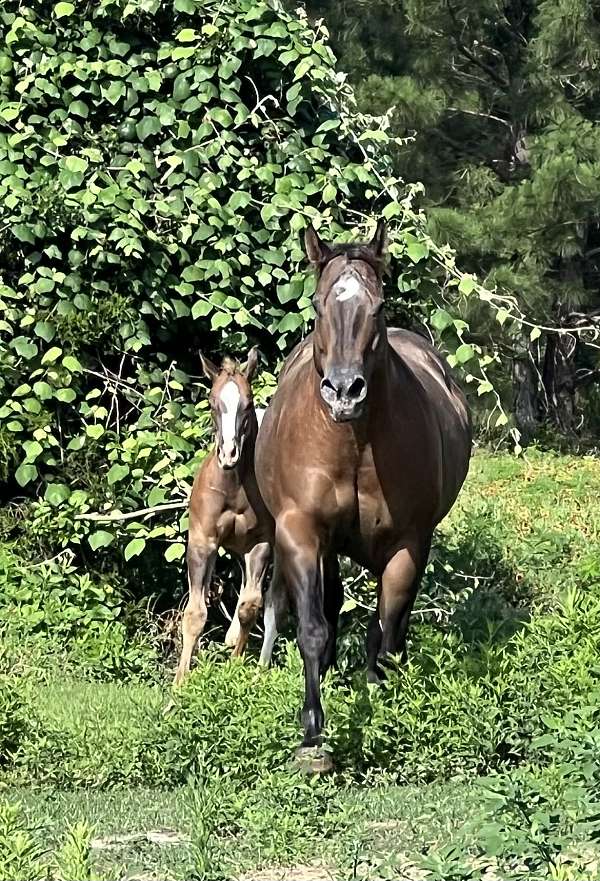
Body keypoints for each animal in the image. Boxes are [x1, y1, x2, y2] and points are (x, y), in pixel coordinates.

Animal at [174, 348, 283, 685]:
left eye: (247, 404)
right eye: (212, 402)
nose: (229, 455)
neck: (233, 488)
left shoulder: (260, 545)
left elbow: (251, 607)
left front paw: (235, 668)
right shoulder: (202, 541)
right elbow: (195, 613)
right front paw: (180, 682)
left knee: (272, 606)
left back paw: (257, 667)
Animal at [255, 221, 471, 769]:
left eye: (377, 305)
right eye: (317, 302)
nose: (344, 391)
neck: (352, 443)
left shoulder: (408, 544)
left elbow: (387, 634)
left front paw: (382, 709)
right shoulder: (301, 532)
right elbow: (314, 629)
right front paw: (313, 737)